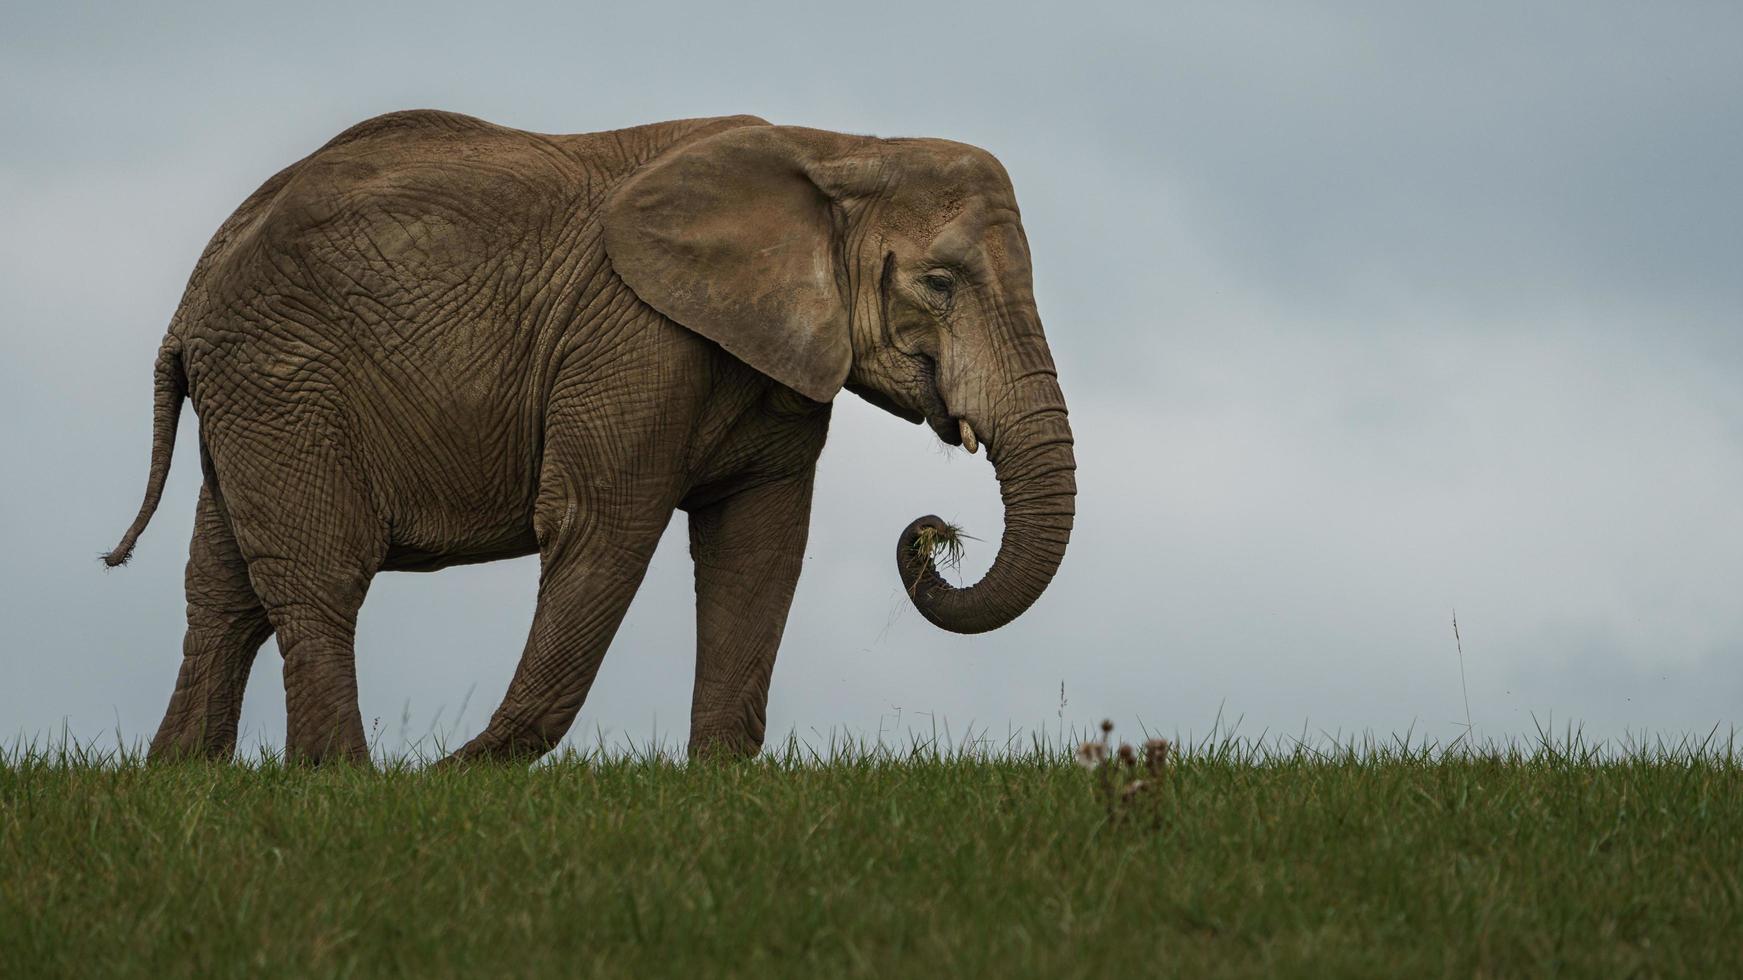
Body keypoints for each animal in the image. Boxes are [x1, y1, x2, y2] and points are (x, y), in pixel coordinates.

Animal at [108, 108, 1073, 763]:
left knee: (224, 588)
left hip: (254, 391)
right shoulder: (633, 335)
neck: (840, 148)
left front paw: (717, 786)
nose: (931, 529)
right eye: (939, 284)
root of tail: (196, 285)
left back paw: (182, 778)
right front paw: (459, 778)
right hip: (283, 377)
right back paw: (345, 782)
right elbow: (601, 526)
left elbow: (758, 547)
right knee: (320, 574)